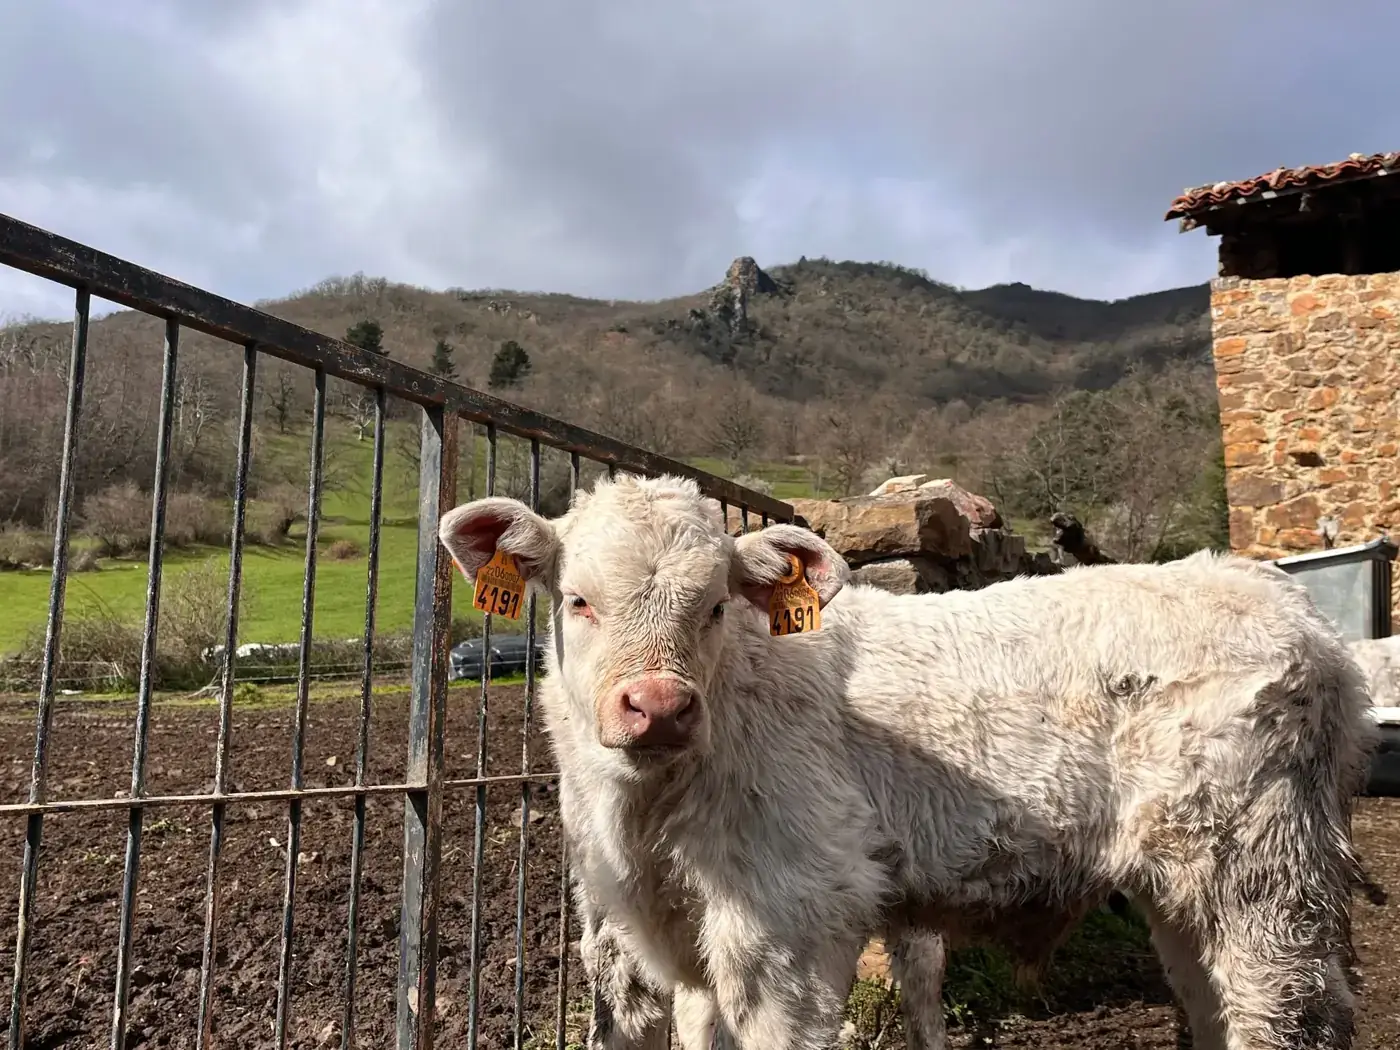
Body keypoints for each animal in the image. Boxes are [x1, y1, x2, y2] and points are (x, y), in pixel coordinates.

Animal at [439, 473, 1375, 1050]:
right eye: (576, 601)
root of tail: (1294, 609)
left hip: (1259, 864)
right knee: (1216, 1002)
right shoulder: (659, 940)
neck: (649, 821)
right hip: (1188, 885)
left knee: (1289, 1011)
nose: (660, 706)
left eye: (713, 607)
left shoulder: (794, 917)